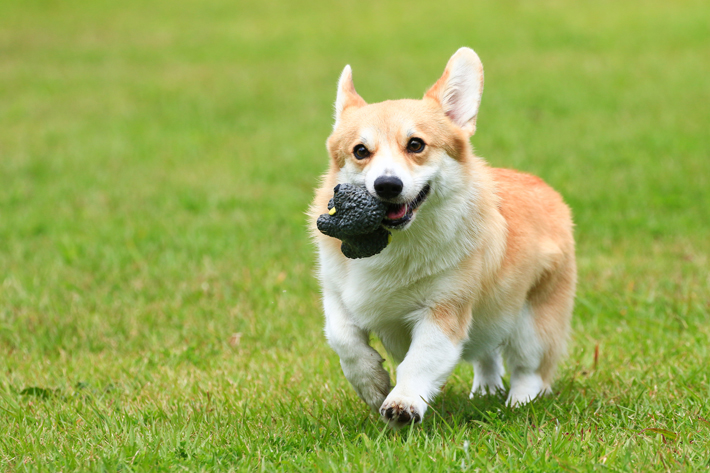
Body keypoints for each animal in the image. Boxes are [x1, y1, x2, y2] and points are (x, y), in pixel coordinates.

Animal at [312, 48, 580, 428]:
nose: (387, 185)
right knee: (486, 354)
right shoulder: (338, 295)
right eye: (361, 151)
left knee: (529, 368)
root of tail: (546, 188)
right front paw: (373, 385)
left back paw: (519, 402)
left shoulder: (443, 311)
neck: (395, 243)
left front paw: (403, 403)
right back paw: (486, 390)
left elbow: (419, 360)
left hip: (532, 321)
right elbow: (344, 340)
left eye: (415, 144)